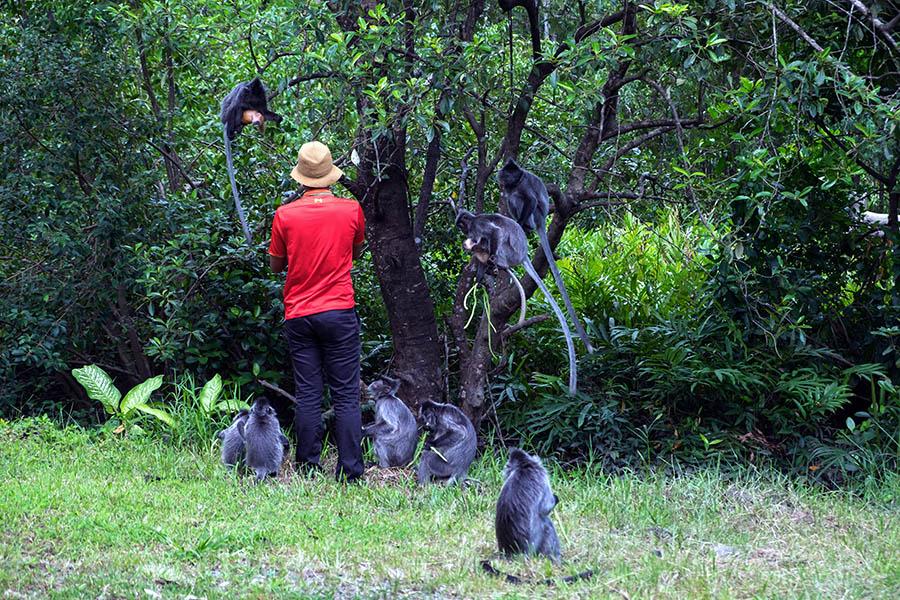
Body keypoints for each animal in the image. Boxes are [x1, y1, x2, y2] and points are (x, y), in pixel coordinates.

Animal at [219, 77, 282, 245]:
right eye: (249, 90)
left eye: (255, 92)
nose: (248, 90)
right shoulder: (243, 93)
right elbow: (239, 103)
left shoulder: (260, 98)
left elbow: (264, 112)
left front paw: (277, 118)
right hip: (227, 117)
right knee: (235, 107)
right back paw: (232, 129)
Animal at [456, 209, 578, 395]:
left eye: (461, 224)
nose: (461, 230)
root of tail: (523, 254)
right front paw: (479, 277)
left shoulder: (477, 226)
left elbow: (494, 233)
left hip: (509, 253)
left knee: (493, 240)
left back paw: (496, 263)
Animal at [498, 158, 594, 354]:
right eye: (507, 173)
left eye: (513, 174)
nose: (509, 179)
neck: (515, 183)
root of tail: (541, 220)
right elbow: (508, 195)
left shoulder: (524, 184)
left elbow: (530, 199)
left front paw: (518, 224)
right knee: (510, 198)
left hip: (534, 214)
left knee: (519, 199)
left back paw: (525, 226)